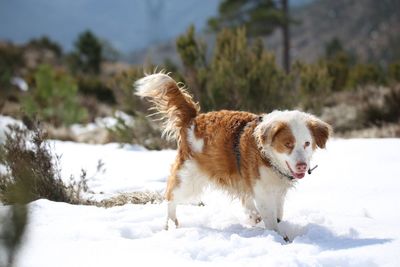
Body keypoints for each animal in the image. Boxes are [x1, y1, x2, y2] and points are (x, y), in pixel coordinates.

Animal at [134, 71, 332, 237]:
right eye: (288, 144)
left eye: (307, 143)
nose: (302, 166)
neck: (268, 157)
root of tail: (193, 118)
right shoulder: (263, 191)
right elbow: (271, 220)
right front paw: (278, 238)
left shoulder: (276, 192)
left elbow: (277, 214)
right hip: (188, 178)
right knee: (171, 198)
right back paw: (170, 225)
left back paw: (252, 215)